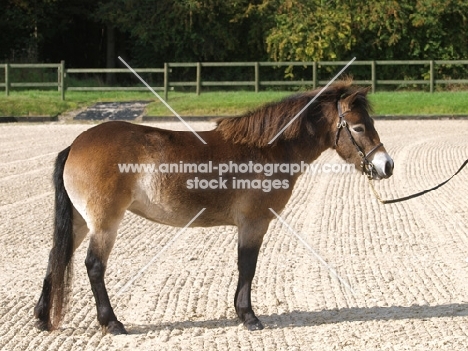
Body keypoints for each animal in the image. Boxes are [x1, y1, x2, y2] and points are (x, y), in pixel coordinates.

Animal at [33, 80, 394, 336]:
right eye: (359, 127)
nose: (386, 165)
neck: (267, 150)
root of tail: (76, 144)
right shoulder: (253, 223)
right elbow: (247, 266)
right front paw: (248, 316)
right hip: (104, 223)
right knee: (94, 266)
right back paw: (112, 322)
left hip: (81, 221)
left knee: (56, 257)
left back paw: (41, 318)